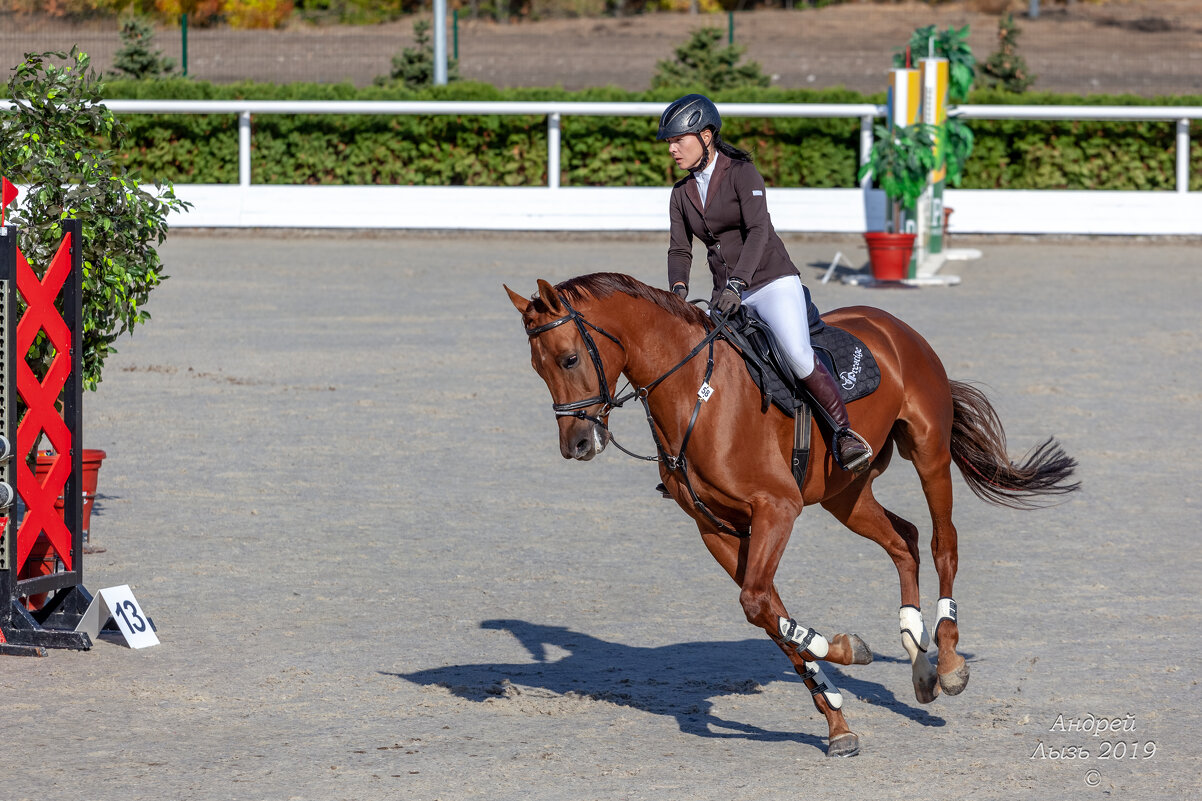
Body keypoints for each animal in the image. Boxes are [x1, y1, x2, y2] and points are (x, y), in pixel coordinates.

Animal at [502, 271, 1076, 750]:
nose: (576, 445)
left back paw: (950, 661)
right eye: (536, 367)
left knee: (942, 542)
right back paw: (919, 662)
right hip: (846, 494)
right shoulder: (717, 529)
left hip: (929, 453)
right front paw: (838, 716)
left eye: (570, 359)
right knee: (904, 540)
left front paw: (847, 651)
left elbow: (760, 604)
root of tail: (893, 325)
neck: (694, 396)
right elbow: (770, 615)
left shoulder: (777, 509)